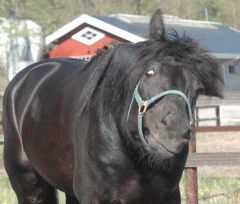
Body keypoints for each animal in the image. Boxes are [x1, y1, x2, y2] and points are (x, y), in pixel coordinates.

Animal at [2, 9, 223, 204]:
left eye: (198, 89)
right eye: (150, 72)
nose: (174, 132)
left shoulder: (168, 197)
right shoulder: (95, 198)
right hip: (28, 186)